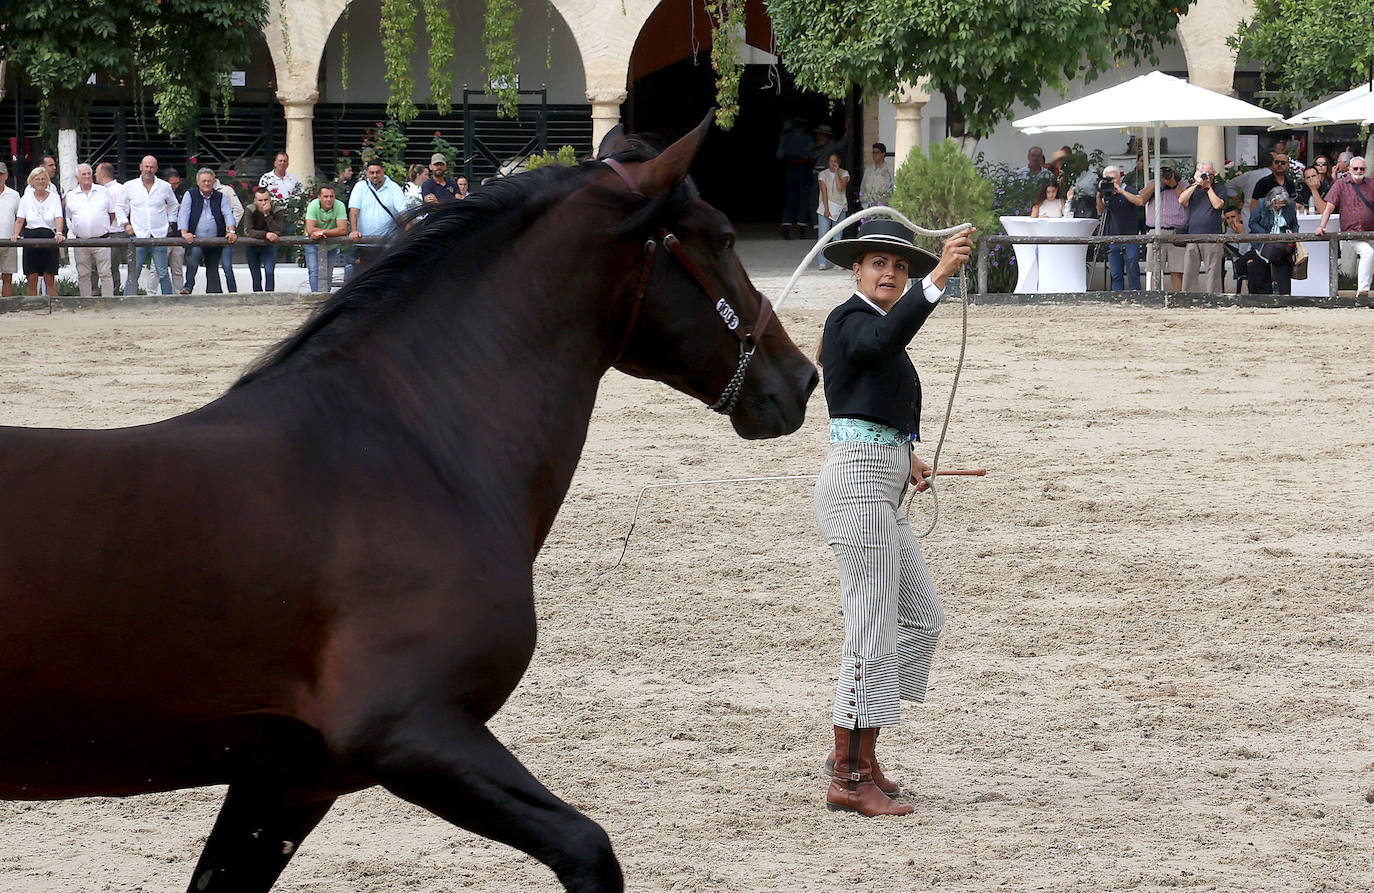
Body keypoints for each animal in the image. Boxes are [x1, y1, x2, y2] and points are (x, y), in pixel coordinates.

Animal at [0, 120, 813, 890]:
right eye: (723, 237)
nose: (800, 378)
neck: (415, 452)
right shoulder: (410, 734)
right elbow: (590, 850)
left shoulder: (288, 778)